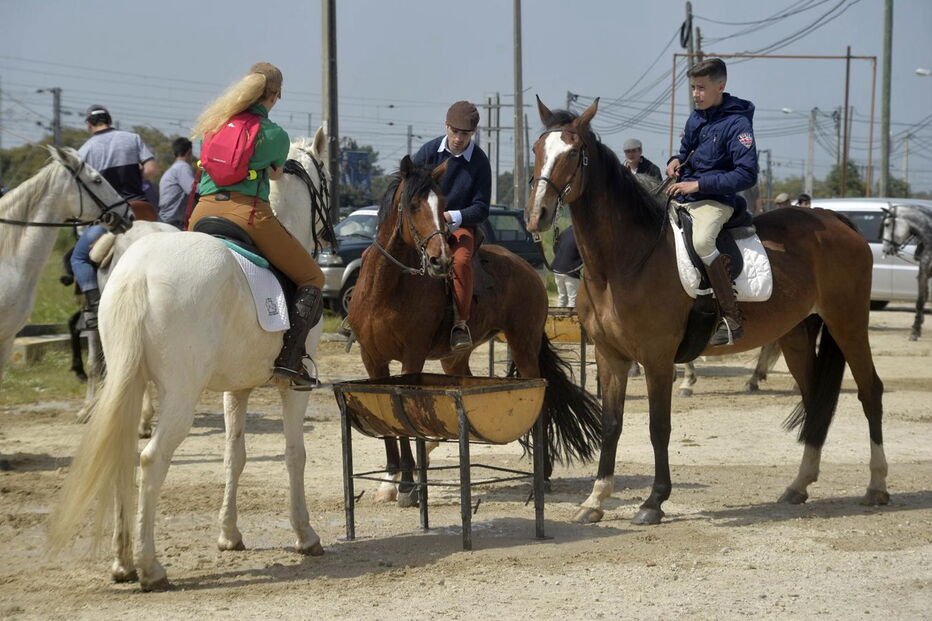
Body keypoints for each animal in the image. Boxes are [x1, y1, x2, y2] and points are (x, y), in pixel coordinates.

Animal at [48, 131, 334, 591]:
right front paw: (305, 535)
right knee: (150, 460)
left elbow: (234, 455)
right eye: (326, 176)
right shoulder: (293, 387)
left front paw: (229, 534)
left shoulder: (237, 389)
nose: (331, 237)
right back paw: (149, 567)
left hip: (129, 384)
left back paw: (123, 562)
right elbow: (294, 454)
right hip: (180, 397)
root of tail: (137, 272)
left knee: (124, 456)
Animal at [347, 155, 602, 507]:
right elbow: (387, 423)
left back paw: (545, 472)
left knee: (542, 399)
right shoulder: (372, 360)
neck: (386, 288)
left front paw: (408, 485)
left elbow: (404, 419)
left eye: (443, 205)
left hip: (523, 347)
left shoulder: (411, 360)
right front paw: (389, 480)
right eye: (413, 206)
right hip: (455, 358)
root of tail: (528, 270)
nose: (440, 260)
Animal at [524, 97, 888, 526]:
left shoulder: (657, 358)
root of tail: (838, 220)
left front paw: (653, 502)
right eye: (537, 149)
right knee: (815, 399)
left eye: (573, 153)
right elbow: (611, 424)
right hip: (798, 334)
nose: (538, 215)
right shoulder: (610, 356)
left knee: (870, 391)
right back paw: (799, 485)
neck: (624, 261)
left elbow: (658, 426)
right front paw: (595, 500)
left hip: (848, 324)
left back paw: (877, 486)